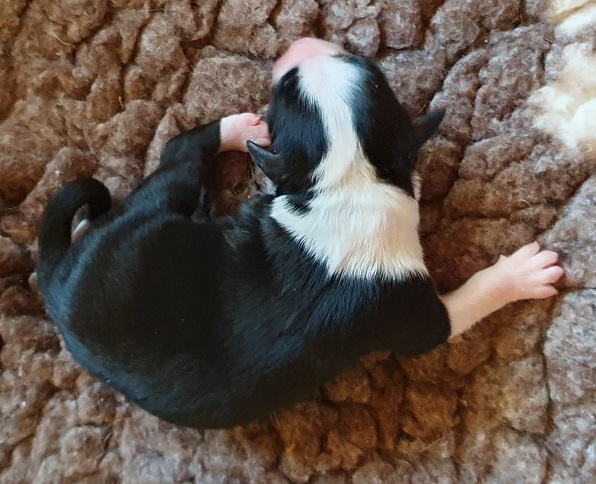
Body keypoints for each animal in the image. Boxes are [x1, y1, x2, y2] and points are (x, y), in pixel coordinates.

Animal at [37, 38, 563, 429]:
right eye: (286, 90)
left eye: (363, 68)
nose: (299, 44)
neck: (346, 183)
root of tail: (55, 284)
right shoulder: (412, 315)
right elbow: (465, 304)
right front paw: (522, 273)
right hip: (164, 198)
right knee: (181, 152)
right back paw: (237, 129)